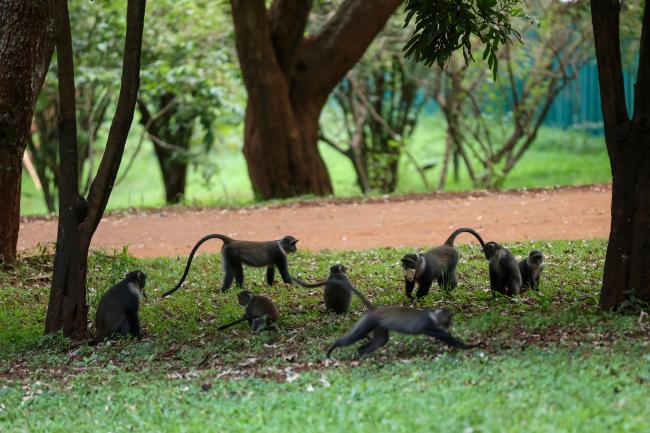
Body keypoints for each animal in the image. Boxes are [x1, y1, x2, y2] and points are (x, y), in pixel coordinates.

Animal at [162, 234, 299, 297]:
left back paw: (239, 288)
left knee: (237, 270)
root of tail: (231, 240)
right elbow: (284, 273)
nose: (296, 249)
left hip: (231, 256)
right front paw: (293, 287)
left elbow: (270, 271)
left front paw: (270, 286)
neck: (281, 245)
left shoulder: (273, 261)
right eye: (293, 244)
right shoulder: (280, 255)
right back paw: (224, 290)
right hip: (230, 253)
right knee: (231, 273)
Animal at [326, 305, 475, 358]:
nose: (450, 324)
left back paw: (361, 354)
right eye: (448, 319)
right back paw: (333, 348)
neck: (432, 316)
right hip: (368, 322)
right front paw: (468, 346)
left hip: (380, 326)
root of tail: (374, 311)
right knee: (356, 336)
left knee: (380, 341)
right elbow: (445, 337)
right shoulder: (428, 326)